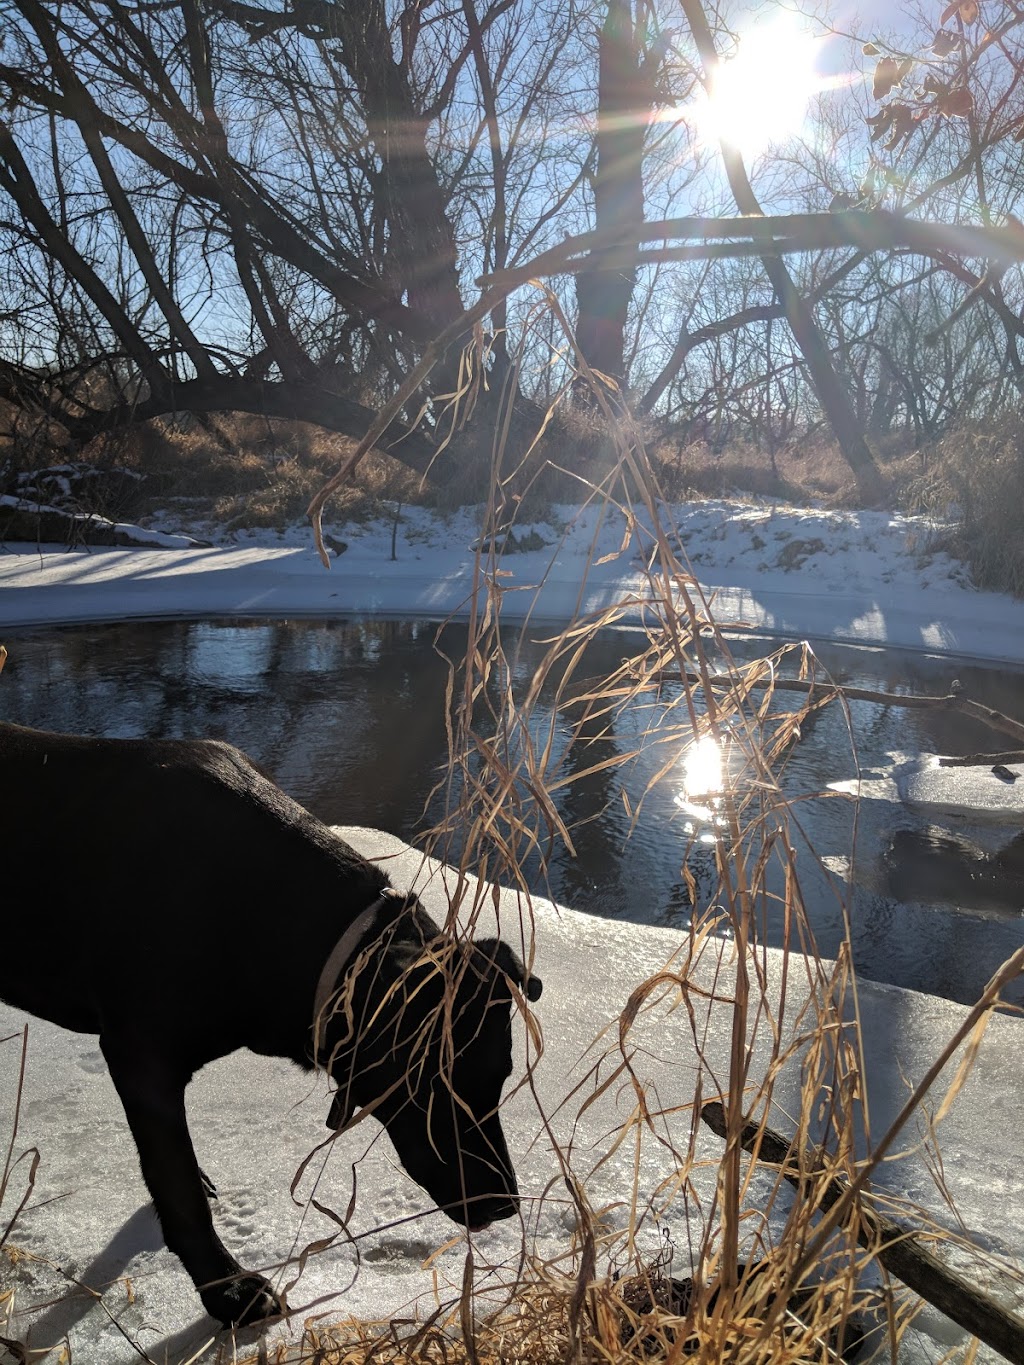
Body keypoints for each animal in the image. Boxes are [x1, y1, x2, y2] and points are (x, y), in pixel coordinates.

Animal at [0, 720, 546, 1326]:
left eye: (501, 1078)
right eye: (434, 1086)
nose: (504, 1203)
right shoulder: (139, 1055)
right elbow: (180, 1190)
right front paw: (228, 1289)